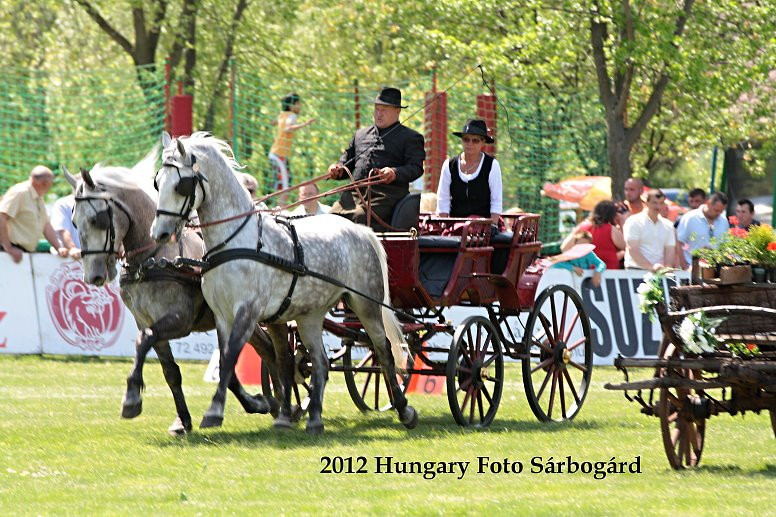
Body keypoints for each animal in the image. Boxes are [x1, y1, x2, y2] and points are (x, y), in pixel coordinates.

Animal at [64, 154, 278, 436]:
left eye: (98, 218)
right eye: (74, 221)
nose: (94, 276)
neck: (154, 259)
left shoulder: (179, 320)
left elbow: (143, 342)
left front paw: (131, 398)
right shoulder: (146, 321)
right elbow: (170, 371)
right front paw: (182, 420)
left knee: (269, 350)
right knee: (264, 351)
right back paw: (274, 401)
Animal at [152, 131, 418, 434]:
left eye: (181, 186)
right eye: (157, 182)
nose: (159, 233)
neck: (236, 241)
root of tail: (361, 229)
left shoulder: (248, 311)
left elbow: (232, 358)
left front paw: (214, 412)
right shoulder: (224, 315)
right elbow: (257, 361)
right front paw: (280, 413)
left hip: (365, 304)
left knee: (383, 350)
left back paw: (404, 409)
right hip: (310, 315)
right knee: (320, 361)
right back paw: (314, 418)